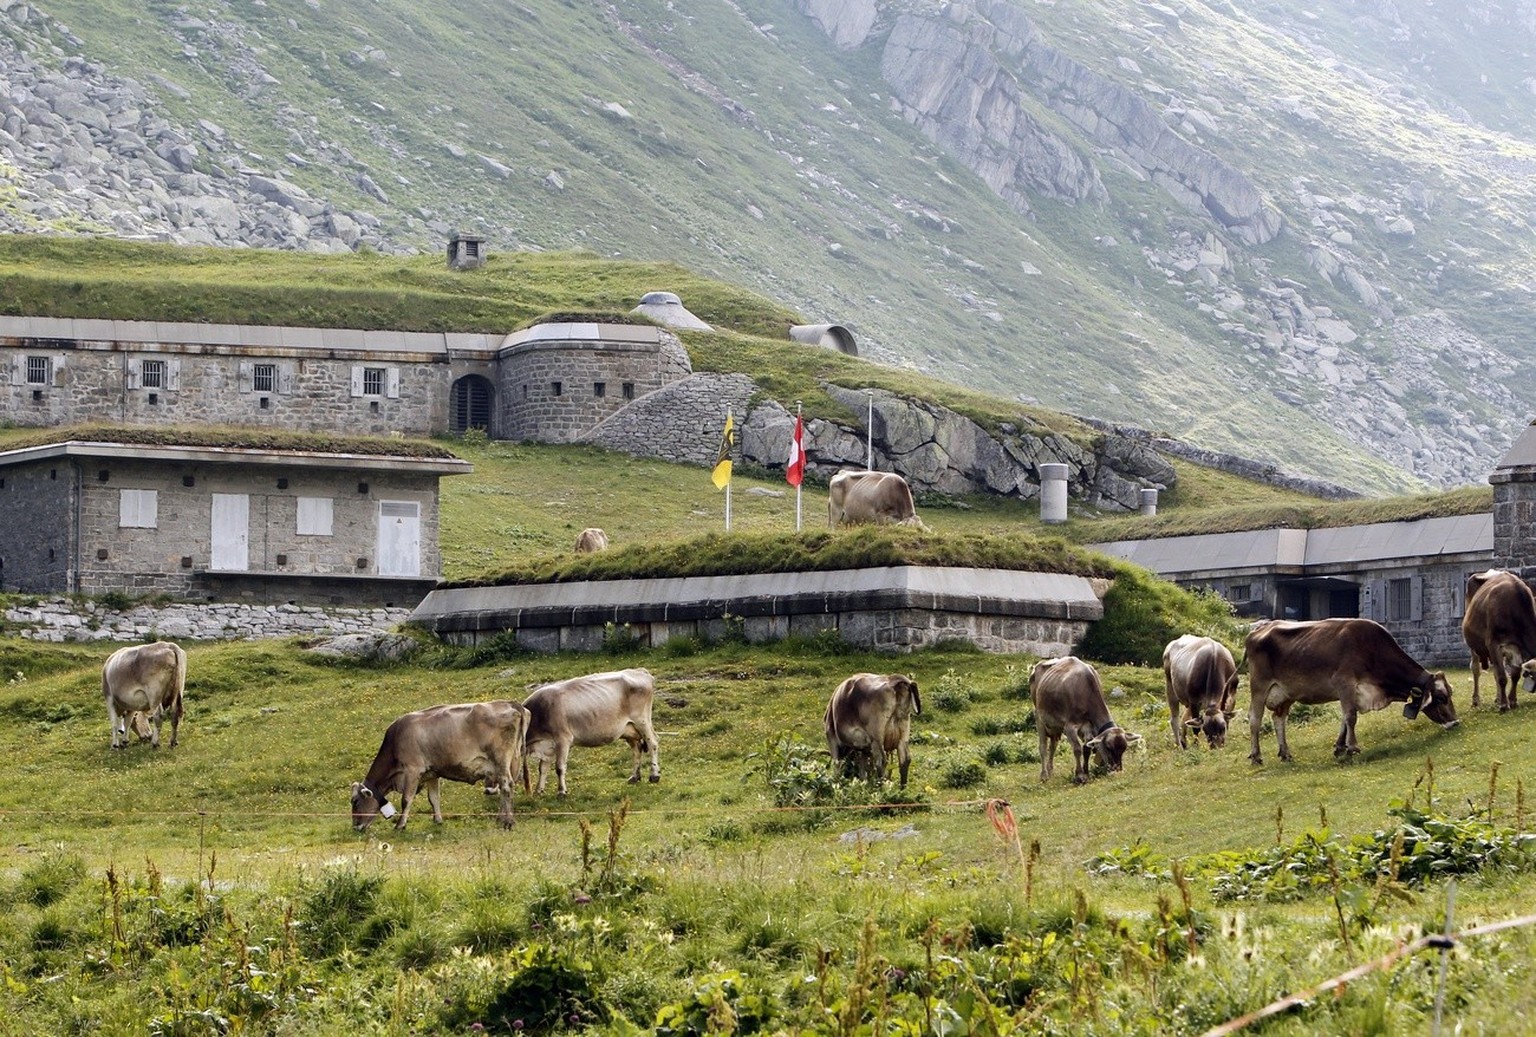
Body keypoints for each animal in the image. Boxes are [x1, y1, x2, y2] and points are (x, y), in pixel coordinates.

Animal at [351, 697, 531, 835]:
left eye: (355, 802)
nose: (356, 827)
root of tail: (511, 703)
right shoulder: (432, 773)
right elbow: (434, 798)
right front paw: (437, 820)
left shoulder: (412, 770)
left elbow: (406, 799)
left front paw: (400, 825)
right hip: (511, 761)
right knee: (505, 788)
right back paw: (501, 818)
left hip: (500, 760)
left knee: (506, 786)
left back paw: (508, 822)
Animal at [522, 666, 660, 792]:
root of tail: (640, 671)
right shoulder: (548, 745)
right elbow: (542, 768)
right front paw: (539, 791)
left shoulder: (563, 739)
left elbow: (559, 767)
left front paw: (561, 791)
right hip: (628, 729)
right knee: (637, 748)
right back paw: (634, 777)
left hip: (642, 721)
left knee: (652, 743)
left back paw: (654, 775)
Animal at [1241, 620, 1456, 768]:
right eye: (1441, 698)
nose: (1455, 723)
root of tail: (1258, 630)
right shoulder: (1344, 684)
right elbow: (1351, 717)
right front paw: (1353, 748)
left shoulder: (1352, 692)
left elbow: (1345, 718)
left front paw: (1340, 747)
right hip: (1259, 686)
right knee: (1255, 718)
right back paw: (1256, 756)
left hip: (1286, 693)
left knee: (1279, 718)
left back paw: (1285, 753)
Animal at [1462, 571, 1536, 709]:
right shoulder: (1493, 644)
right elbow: (1502, 677)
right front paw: (1504, 705)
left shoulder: (1517, 648)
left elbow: (1514, 675)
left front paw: (1511, 700)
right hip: (1473, 646)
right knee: (1476, 669)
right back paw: (1476, 700)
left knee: (1496, 672)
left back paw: (1498, 698)